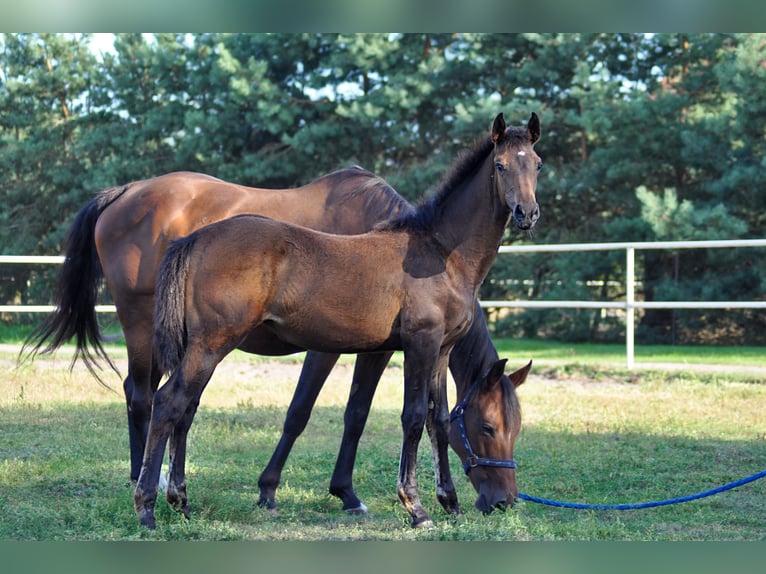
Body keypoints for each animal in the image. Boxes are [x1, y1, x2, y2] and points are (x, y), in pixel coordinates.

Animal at [142, 113, 540, 532]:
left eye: (538, 164)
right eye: (487, 426)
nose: (504, 501)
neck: (440, 253)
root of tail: (195, 239)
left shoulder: (441, 350)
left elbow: (440, 421)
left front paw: (449, 501)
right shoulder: (419, 344)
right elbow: (413, 417)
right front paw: (415, 507)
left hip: (204, 348)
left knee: (185, 409)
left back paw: (180, 501)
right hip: (210, 345)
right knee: (167, 403)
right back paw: (147, 508)